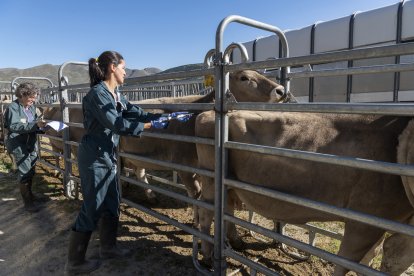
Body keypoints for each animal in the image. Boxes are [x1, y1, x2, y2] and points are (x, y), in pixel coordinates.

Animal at [195, 110, 414, 276]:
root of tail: (208, 113)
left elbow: (383, 258)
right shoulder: (365, 220)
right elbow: (346, 262)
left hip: (227, 184)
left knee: (225, 208)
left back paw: (235, 242)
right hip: (210, 179)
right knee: (206, 212)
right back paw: (207, 256)